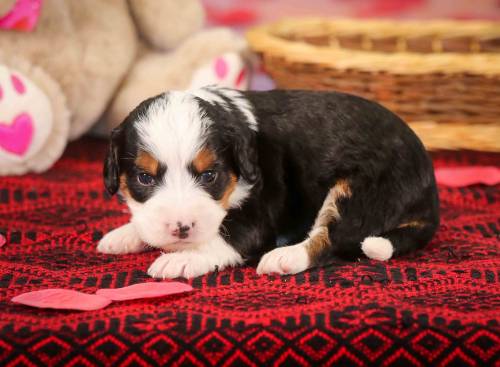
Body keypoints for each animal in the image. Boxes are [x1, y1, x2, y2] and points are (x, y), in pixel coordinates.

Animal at [97, 87, 438, 280]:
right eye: (144, 177)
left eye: (210, 176)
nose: (181, 228)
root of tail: (429, 197)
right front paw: (125, 234)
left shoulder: (258, 214)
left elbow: (224, 237)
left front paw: (181, 259)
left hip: (359, 190)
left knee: (331, 239)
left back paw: (285, 257)